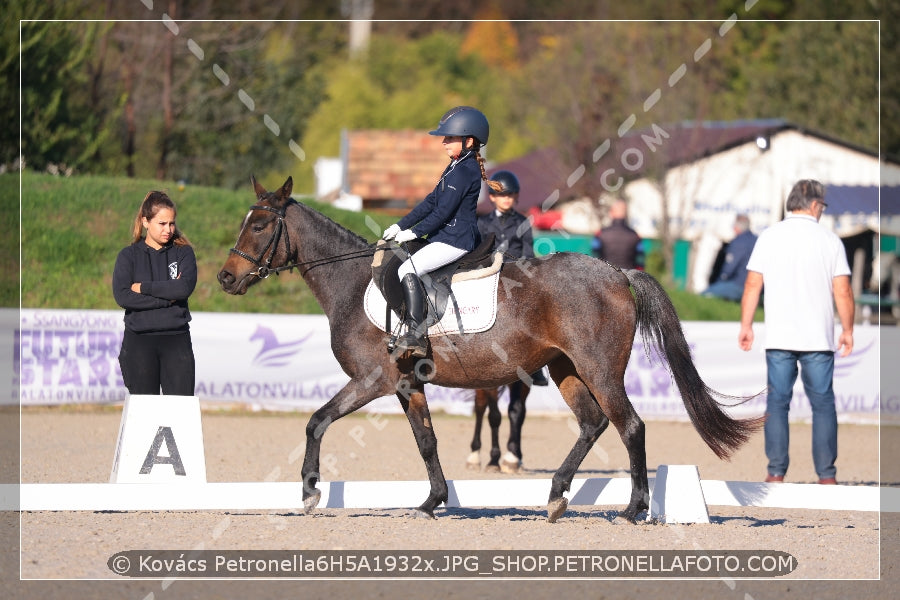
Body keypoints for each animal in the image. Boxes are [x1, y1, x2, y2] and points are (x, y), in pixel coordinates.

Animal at [216, 176, 760, 524]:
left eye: (260, 226)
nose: (224, 277)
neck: (351, 282)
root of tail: (616, 272)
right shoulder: (407, 384)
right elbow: (427, 441)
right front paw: (433, 501)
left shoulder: (372, 380)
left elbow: (316, 421)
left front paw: (310, 493)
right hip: (565, 369)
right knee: (592, 424)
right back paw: (556, 498)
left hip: (599, 368)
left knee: (630, 426)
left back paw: (633, 509)